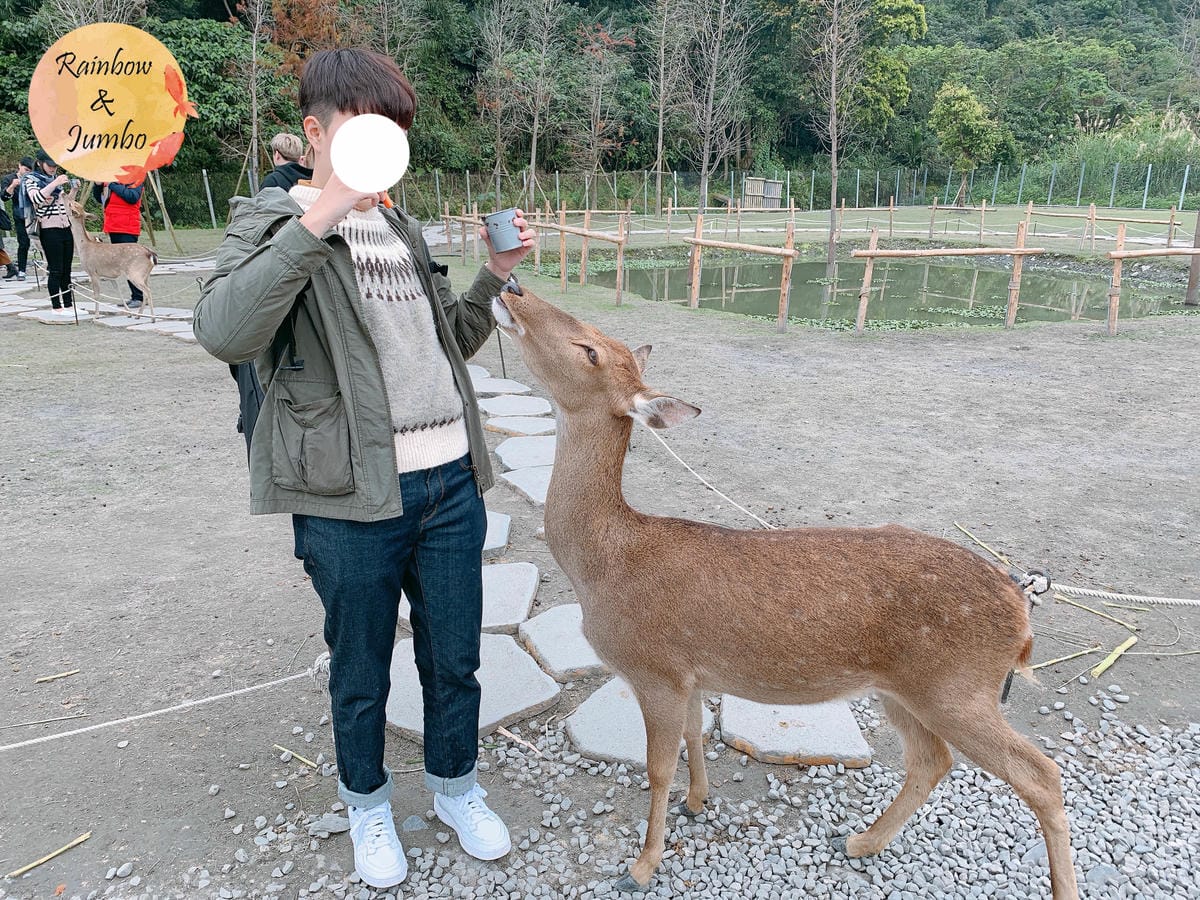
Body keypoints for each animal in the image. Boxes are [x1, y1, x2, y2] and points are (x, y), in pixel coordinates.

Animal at [491, 283, 1080, 899]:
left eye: (590, 351)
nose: (512, 288)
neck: (604, 567)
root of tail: (1021, 612)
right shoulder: (689, 673)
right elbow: (696, 735)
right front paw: (698, 801)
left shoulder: (654, 669)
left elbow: (657, 766)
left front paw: (642, 865)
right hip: (908, 689)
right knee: (932, 760)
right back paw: (859, 842)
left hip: (958, 688)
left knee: (1040, 772)